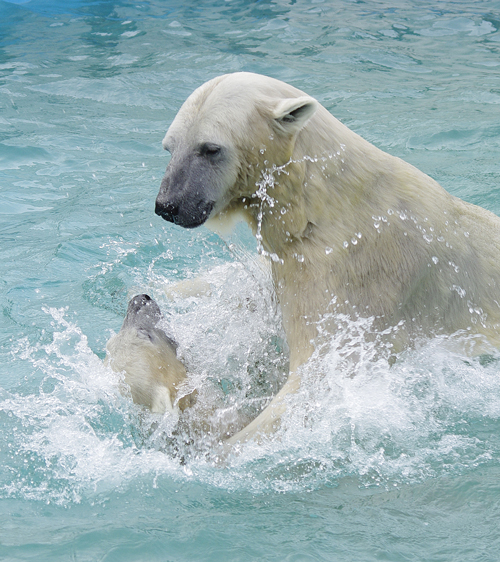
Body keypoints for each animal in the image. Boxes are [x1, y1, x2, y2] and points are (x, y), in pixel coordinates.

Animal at [152, 72, 500, 444]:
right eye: (169, 147)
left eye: (210, 148)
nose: (168, 205)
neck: (320, 205)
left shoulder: (356, 270)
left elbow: (321, 373)